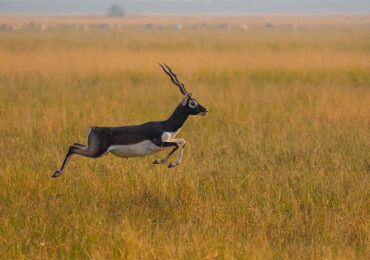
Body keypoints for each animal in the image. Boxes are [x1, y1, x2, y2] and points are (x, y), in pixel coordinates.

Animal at [52, 64, 208, 178]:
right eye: (193, 103)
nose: (205, 110)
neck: (166, 125)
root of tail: (93, 128)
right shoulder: (160, 142)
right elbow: (177, 144)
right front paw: (163, 162)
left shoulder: (168, 140)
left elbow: (182, 141)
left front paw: (169, 163)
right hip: (96, 152)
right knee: (72, 148)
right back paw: (57, 173)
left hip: (93, 148)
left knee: (73, 145)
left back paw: (57, 172)